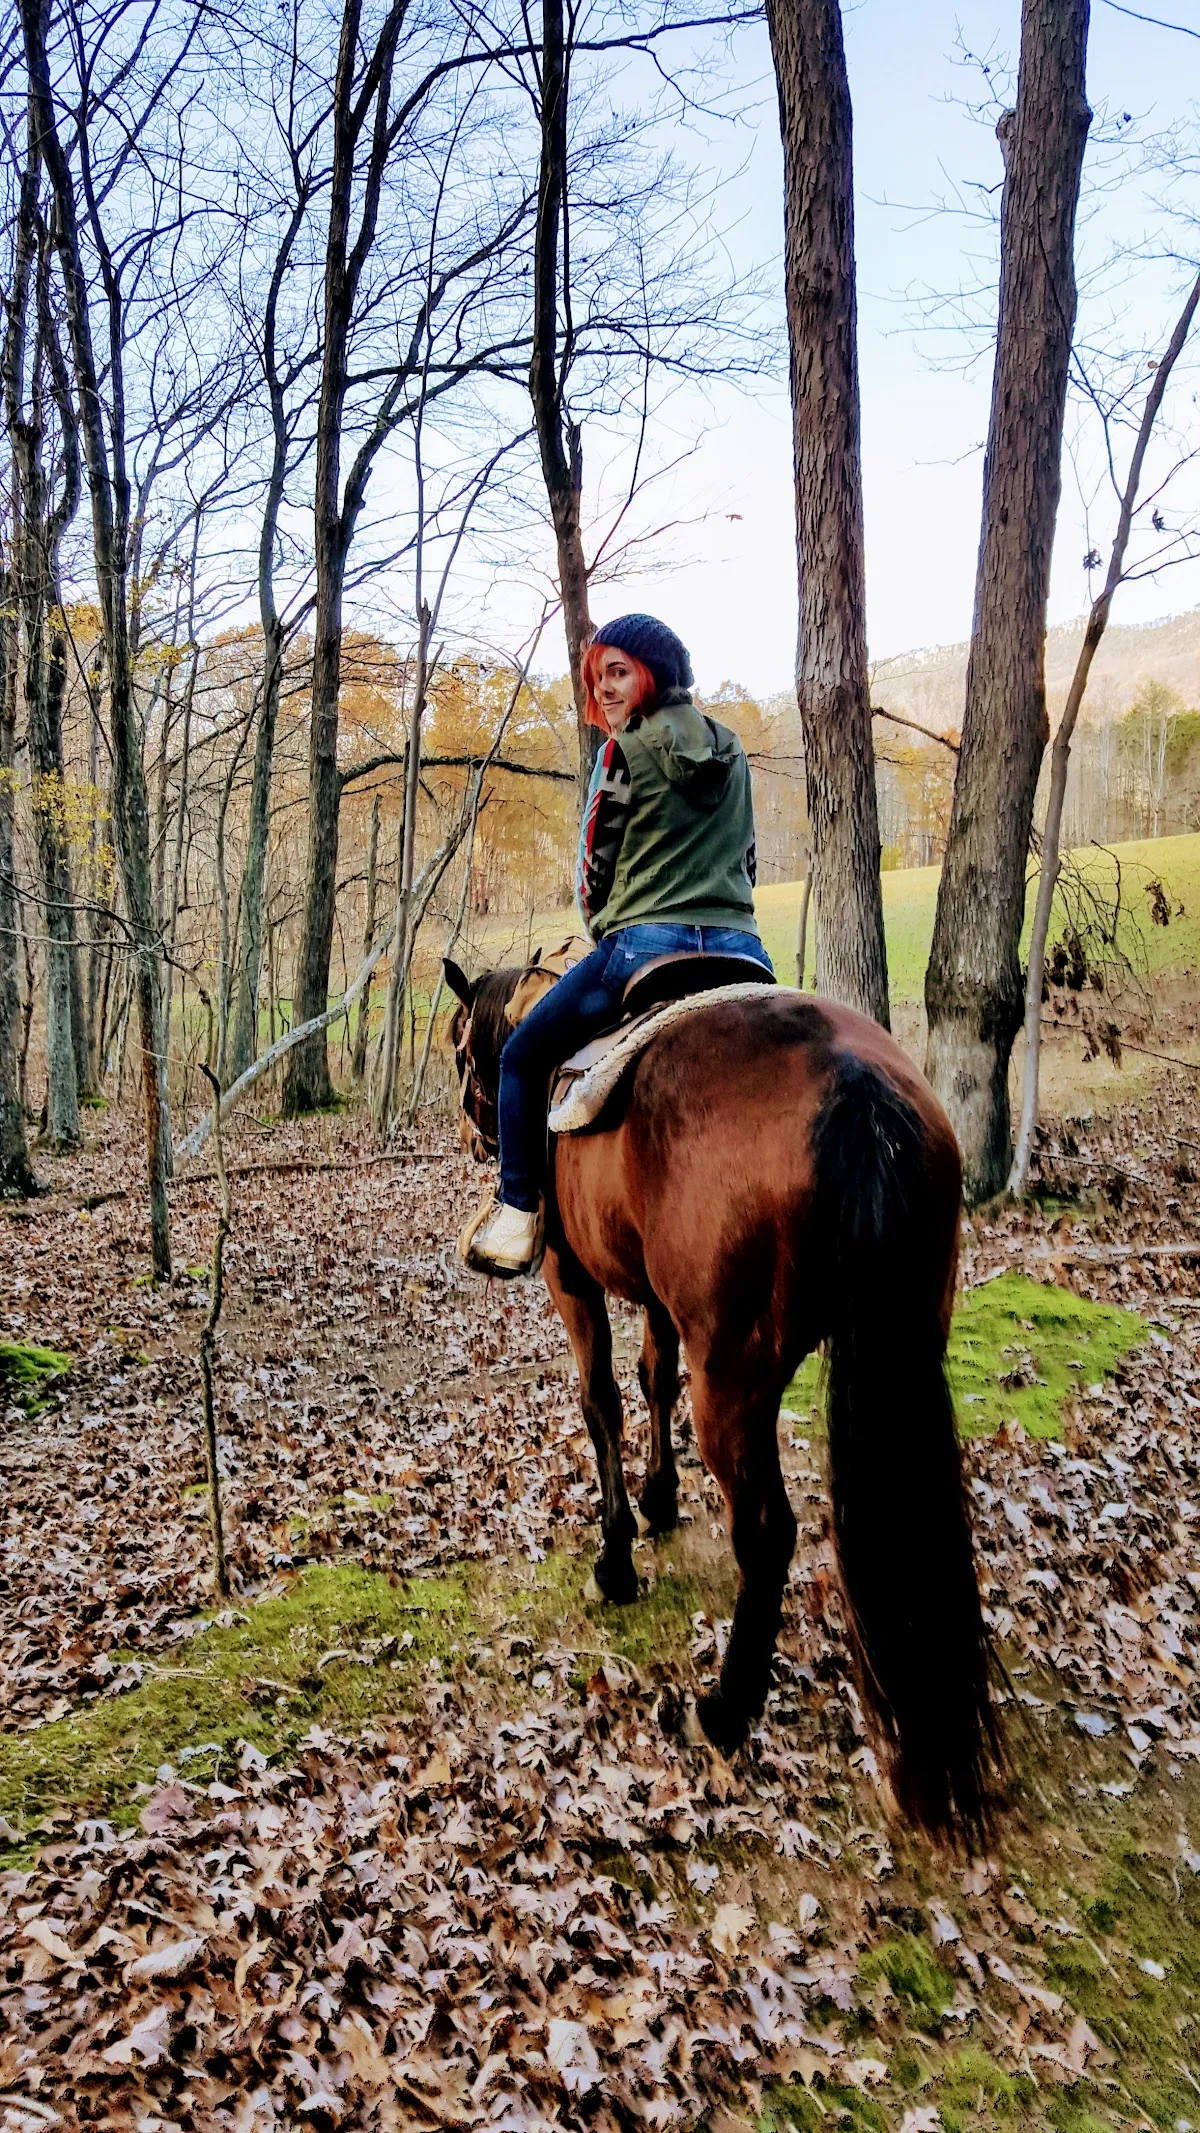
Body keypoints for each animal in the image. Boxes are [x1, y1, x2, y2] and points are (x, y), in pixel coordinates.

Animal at [445, 962, 1001, 1840]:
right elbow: (653, 1375)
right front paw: (660, 1499)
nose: (475, 1136)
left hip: (734, 1381)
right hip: (907, 1346)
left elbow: (601, 1399)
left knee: (767, 1530)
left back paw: (725, 1709)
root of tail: (858, 1085)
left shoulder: (572, 1278)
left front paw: (616, 1559)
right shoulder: (657, 1299)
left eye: (463, 1046)